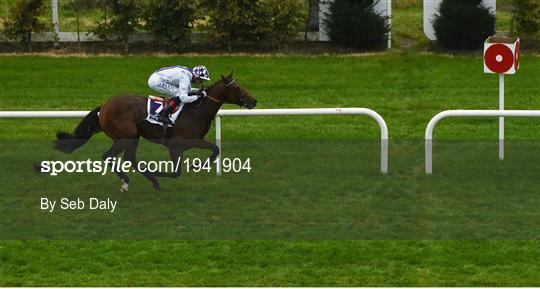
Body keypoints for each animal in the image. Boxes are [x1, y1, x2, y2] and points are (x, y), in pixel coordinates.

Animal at [53, 71, 256, 190]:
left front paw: (197, 165)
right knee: (109, 156)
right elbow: (176, 172)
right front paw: (160, 173)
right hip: (126, 136)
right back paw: (130, 181)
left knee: (129, 158)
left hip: (132, 137)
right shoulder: (175, 146)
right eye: (238, 87)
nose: (253, 101)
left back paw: (149, 180)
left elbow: (215, 149)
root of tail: (104, 107)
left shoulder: (195, 141)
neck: (196, 110)